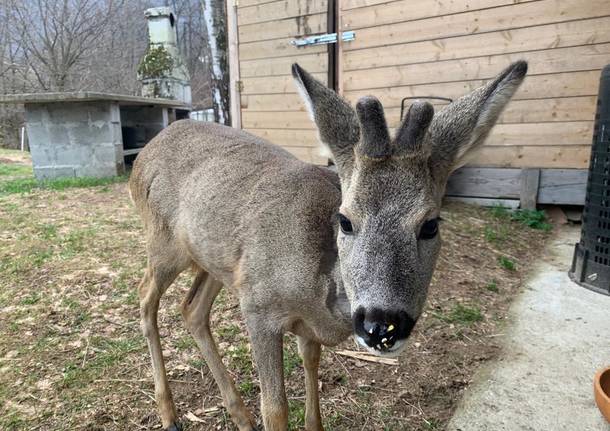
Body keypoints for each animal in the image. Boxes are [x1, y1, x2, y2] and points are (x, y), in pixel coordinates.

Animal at [129, 60, 528, 431]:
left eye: (430, 225)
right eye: (345, 219)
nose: (382, 326)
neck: (319, 290)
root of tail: (145, 153)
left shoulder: (303, 325)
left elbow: (312, 377)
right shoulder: (258, 307)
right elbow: (275, 408)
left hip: (217, 259)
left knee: (191, 308)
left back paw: (239, 416)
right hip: (164, 242)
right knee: (145, 294)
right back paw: (169, 415)